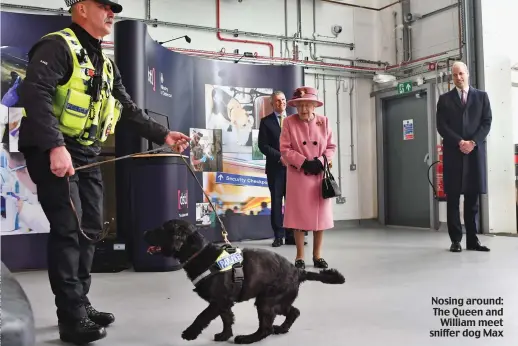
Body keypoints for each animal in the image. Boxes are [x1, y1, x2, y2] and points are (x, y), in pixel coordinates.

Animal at [143, 219, 346, 344]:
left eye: (162, 229)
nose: (144, 231)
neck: (200, 254)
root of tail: (297, 270)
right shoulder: (224, 302)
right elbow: (226, 318)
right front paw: (225, 334)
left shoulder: (218, 300)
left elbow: (202, 316)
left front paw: (190, 333)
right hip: (277, 301)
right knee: (294, 311)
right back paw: (282, 328)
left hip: (267, 301)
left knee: (266, 329)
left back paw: (247, 339)